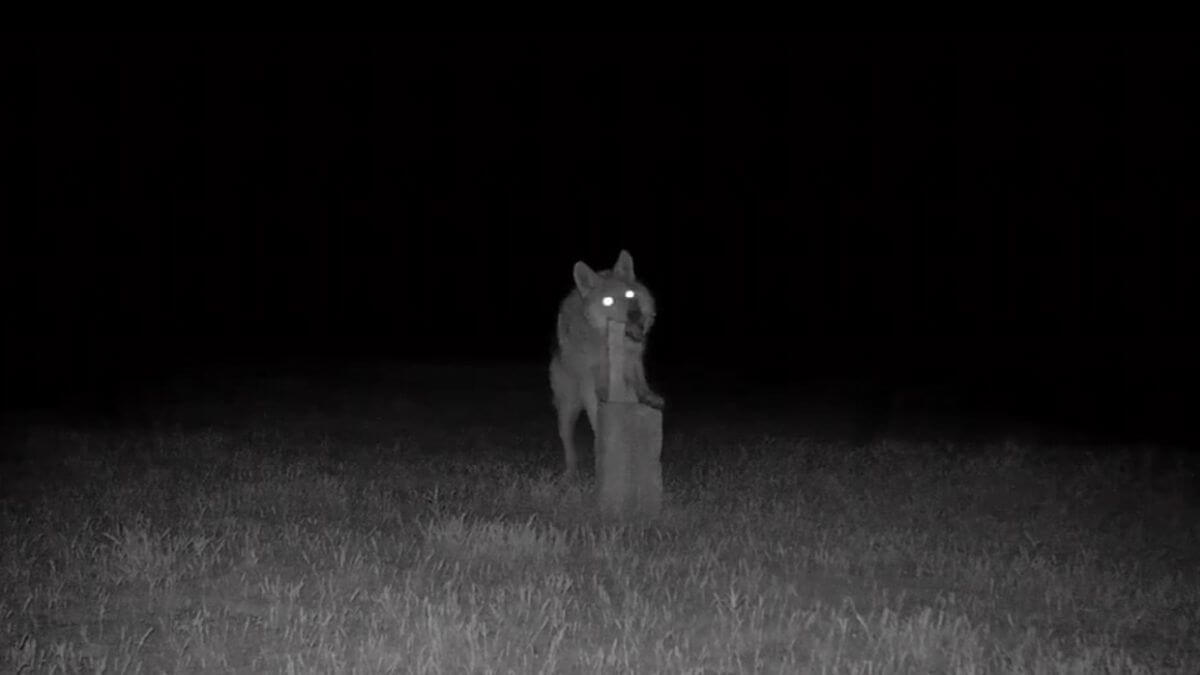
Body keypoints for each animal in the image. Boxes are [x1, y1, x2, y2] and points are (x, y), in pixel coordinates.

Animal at [549, 250, 664, 477]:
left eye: (630, 295)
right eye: (608, 301)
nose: (635, 314)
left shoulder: (633, 360)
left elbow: (640, 382)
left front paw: (649, 397)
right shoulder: (588, 377)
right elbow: (595, 412)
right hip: (568, 406)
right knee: (567, 438)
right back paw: (571, 471)